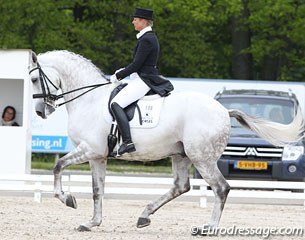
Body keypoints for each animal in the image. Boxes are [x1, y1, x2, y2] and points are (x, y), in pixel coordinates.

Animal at [29, 50, 304, 232]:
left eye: (33, 79)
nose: (41, 111)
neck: (89, 100)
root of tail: (225, 111)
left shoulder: (88, 149)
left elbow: (57, 167)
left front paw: (68, 199)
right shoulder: (97, 156)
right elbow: (98, 191)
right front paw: (92, 222)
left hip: (202, 158)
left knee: (221, 188)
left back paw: (209, 227)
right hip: (181, 155)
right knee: (181, 186)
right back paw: (144, 216)